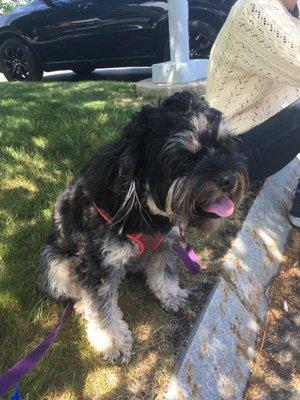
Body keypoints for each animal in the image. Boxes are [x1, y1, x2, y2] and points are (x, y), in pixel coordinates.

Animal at [38, 92, 246, 364]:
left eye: (223, 144)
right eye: (186, 156)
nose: (229, 180)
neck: (141, 203)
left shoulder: (166, 243)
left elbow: (164, 273)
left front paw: (170, 294)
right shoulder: (97, 263)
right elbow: (101, 307)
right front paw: (112, 341)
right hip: (54, 262)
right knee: (75, 292)